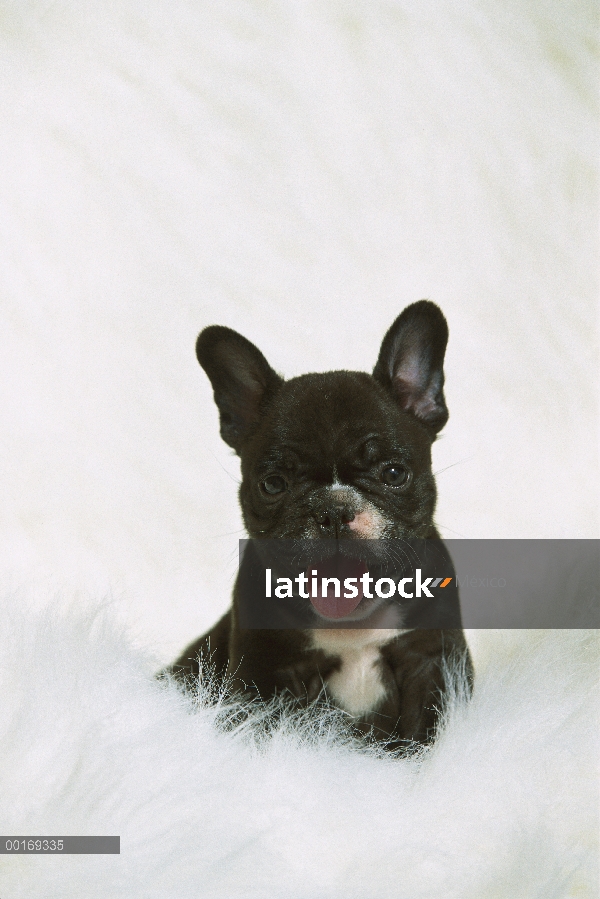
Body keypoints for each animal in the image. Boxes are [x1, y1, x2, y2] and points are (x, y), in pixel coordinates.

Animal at [169, 304, 474, 752]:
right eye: (273, 484)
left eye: (394, 473)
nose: (333, 510)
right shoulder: (263, 674)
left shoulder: (431, 664)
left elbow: (424, 734)